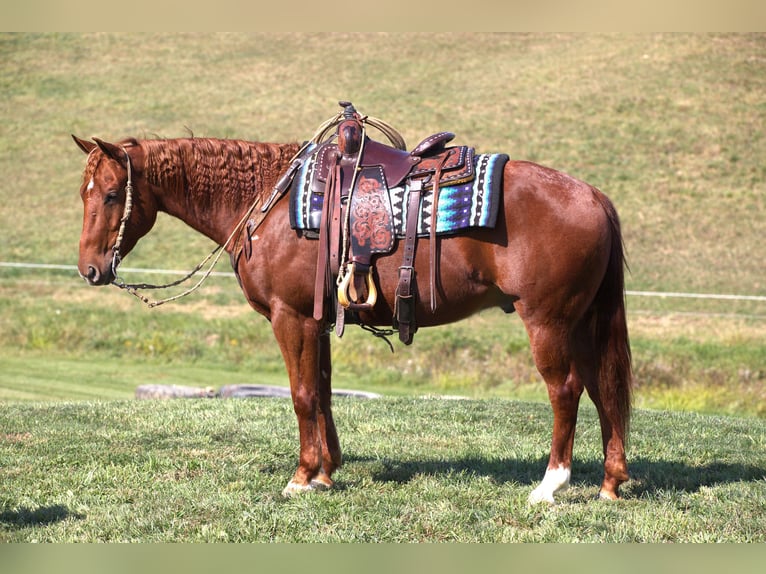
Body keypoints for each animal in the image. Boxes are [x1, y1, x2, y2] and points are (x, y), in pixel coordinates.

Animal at [73, 118, 636, 504]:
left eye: (111, 193)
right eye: (84, 193)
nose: (89, 270)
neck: (268, 201)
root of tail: (593, 196)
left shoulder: (292, 317)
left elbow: (301, 395)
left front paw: (302, 477)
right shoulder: (318, 320)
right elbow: (322, 392)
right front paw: (326, 471)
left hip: (548, 321)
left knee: (566, 390)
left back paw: (551, 485)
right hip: (582, 322)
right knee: (603, 390)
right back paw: (610, 483)